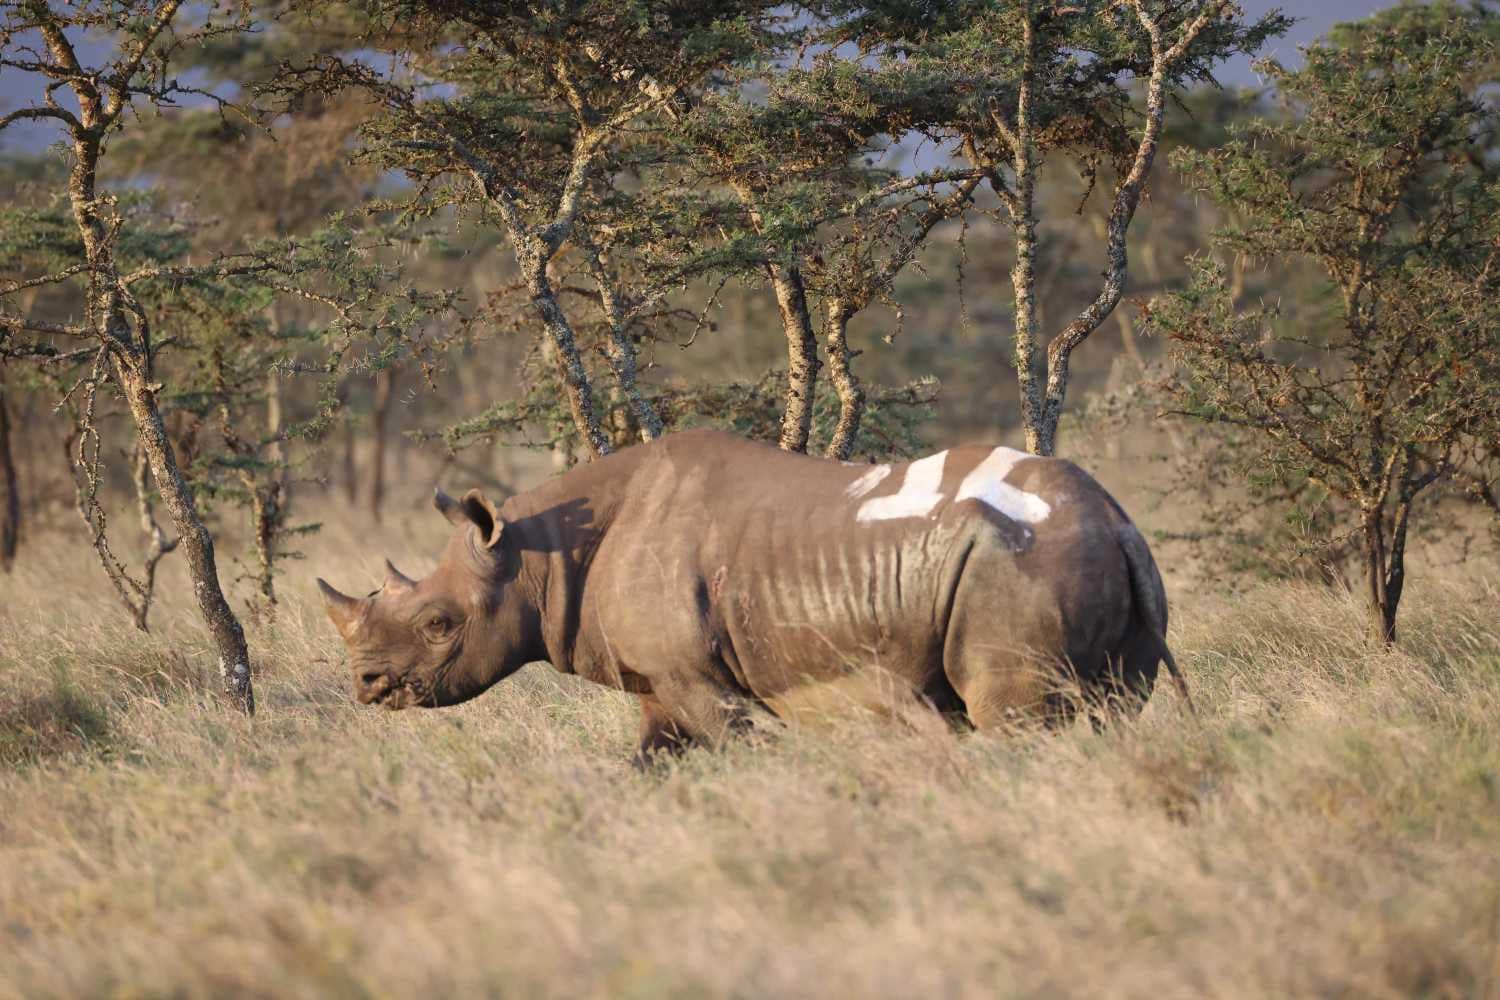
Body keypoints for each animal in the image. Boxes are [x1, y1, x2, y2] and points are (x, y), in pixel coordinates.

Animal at [318, 429, 1189, 755]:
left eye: (439, 624)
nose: (366, 685)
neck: (537, 555)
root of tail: (1114, 520)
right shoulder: (661, 683)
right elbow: (652, 761)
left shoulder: (698, 678)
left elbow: (741, 743)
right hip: (1094, 560)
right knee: (1111, 710)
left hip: (1021, 561)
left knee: (1015, 720)